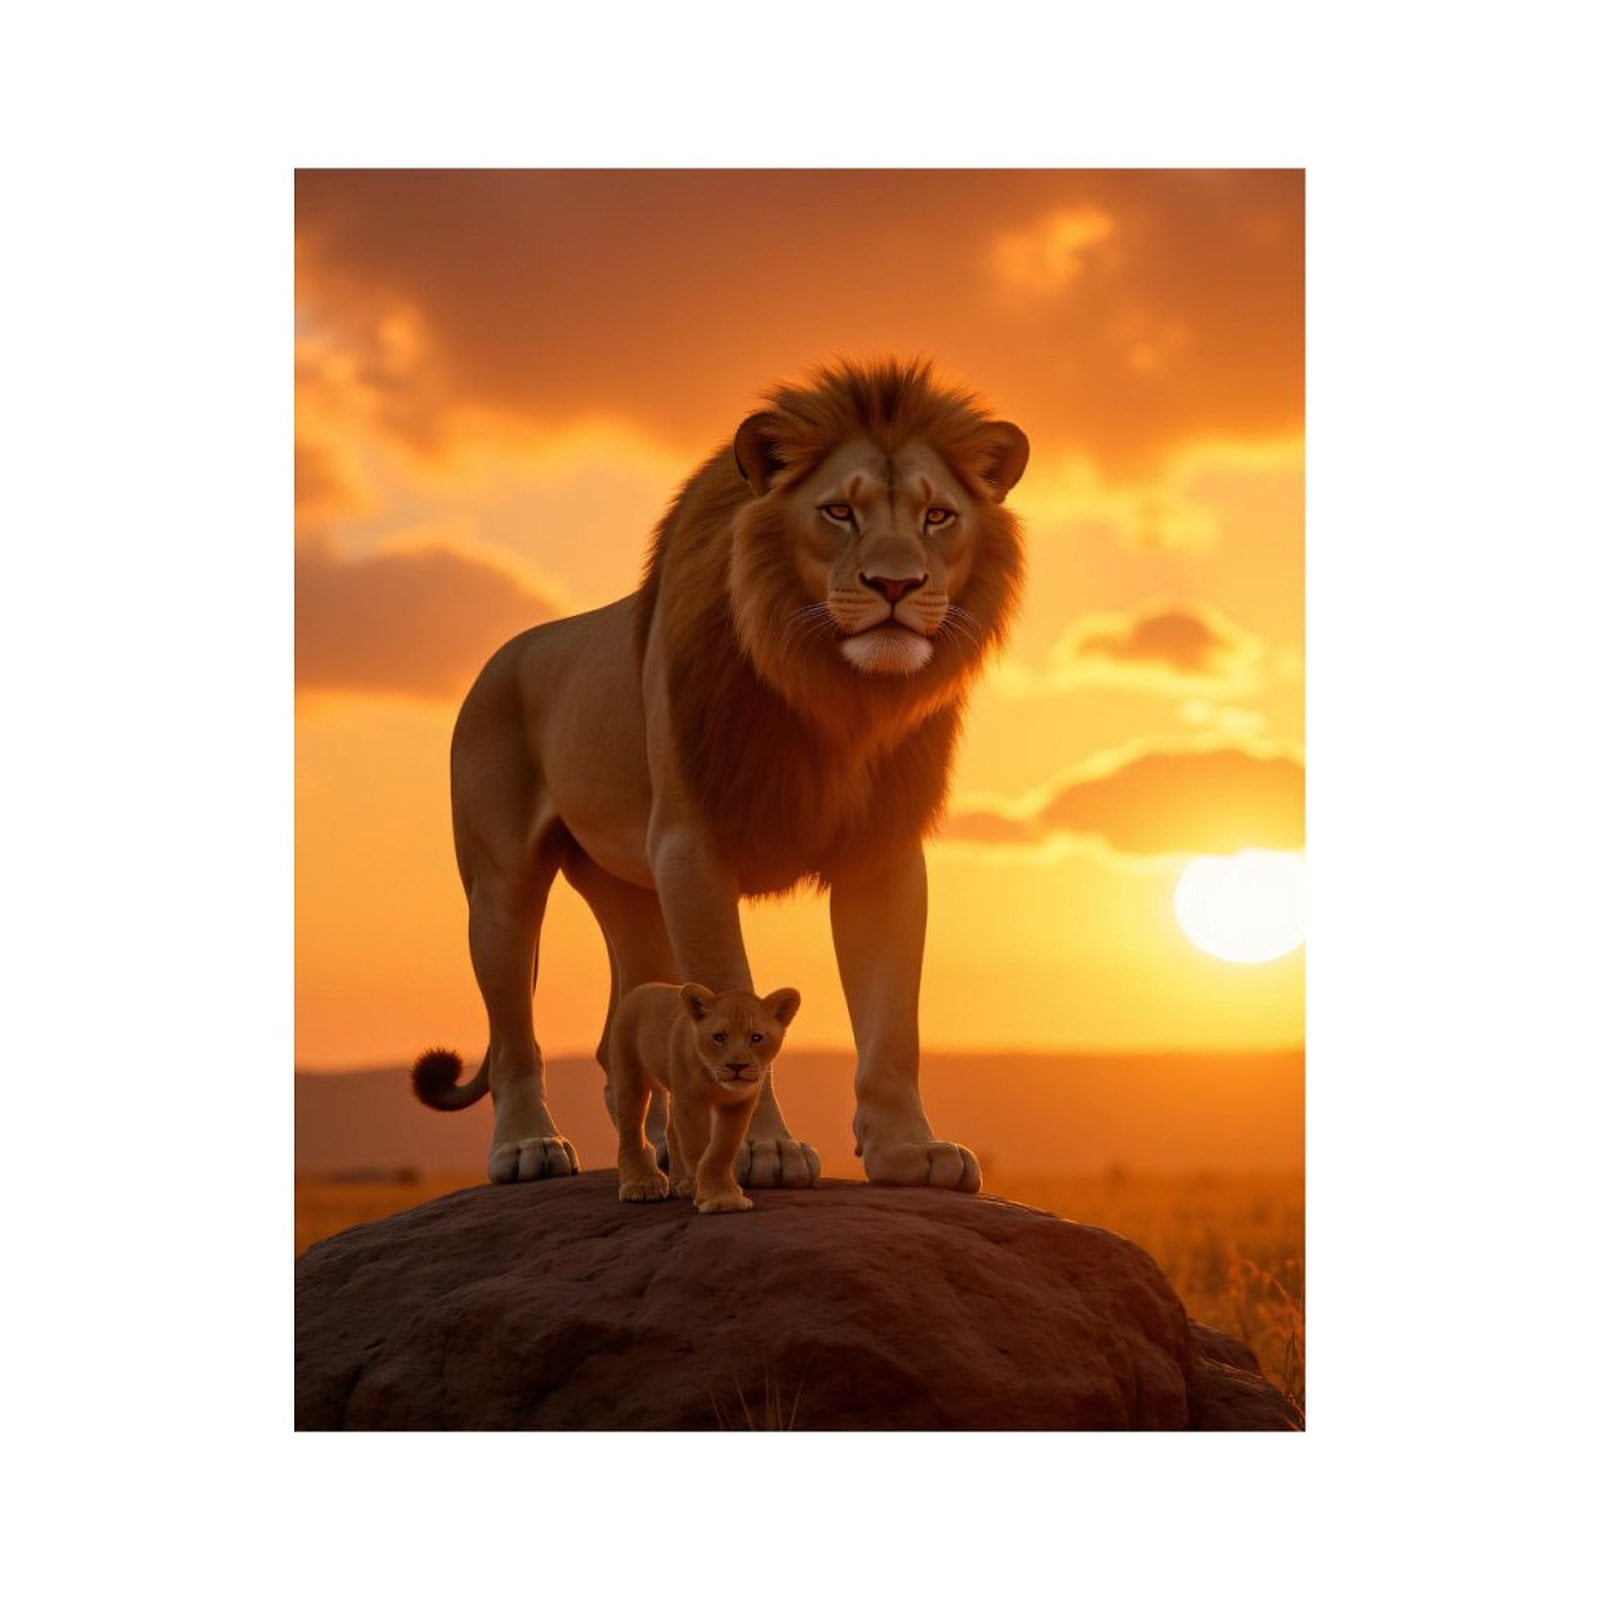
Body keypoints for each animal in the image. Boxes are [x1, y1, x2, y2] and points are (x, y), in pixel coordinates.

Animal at [611, 982, 801, 1213]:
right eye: (719, 1037)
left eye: (756, 1038)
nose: (737, 1066)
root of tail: (642, 988)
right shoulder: (691, 1102)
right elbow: (697, 1149)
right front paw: (714, 1197)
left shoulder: (738, 1104)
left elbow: (721, 1150)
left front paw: (724, 1195)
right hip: (630, 1075)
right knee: (630, 1130)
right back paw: (642, 1184)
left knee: (671, 1130)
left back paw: (683, 1184)